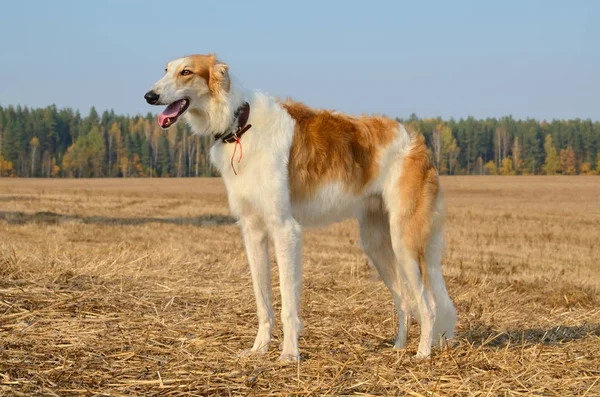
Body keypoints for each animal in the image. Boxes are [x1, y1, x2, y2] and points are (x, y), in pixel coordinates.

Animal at [145, 51, 454, 358]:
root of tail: (416, 142)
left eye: (186, 72)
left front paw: (289, 354)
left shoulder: (285, 229)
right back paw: (399, 347)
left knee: (429, 305)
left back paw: (422, 354)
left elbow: (288, 303)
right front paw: (258, 349)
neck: (241, 125)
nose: (149, 95)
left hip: (405, 241)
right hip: (377, 244)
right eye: (165, 69)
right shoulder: (252, 231)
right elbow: (263, 302)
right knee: (406, 302)